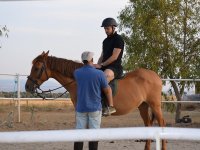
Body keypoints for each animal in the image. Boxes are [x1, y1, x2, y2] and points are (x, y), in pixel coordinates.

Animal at [25, 50, 166, 150]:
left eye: (36, 68)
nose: (27, 86)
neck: (78, 80)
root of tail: (155, 76)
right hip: (143, 106)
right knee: (148, 126)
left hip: (155, 105)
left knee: (162, 124)